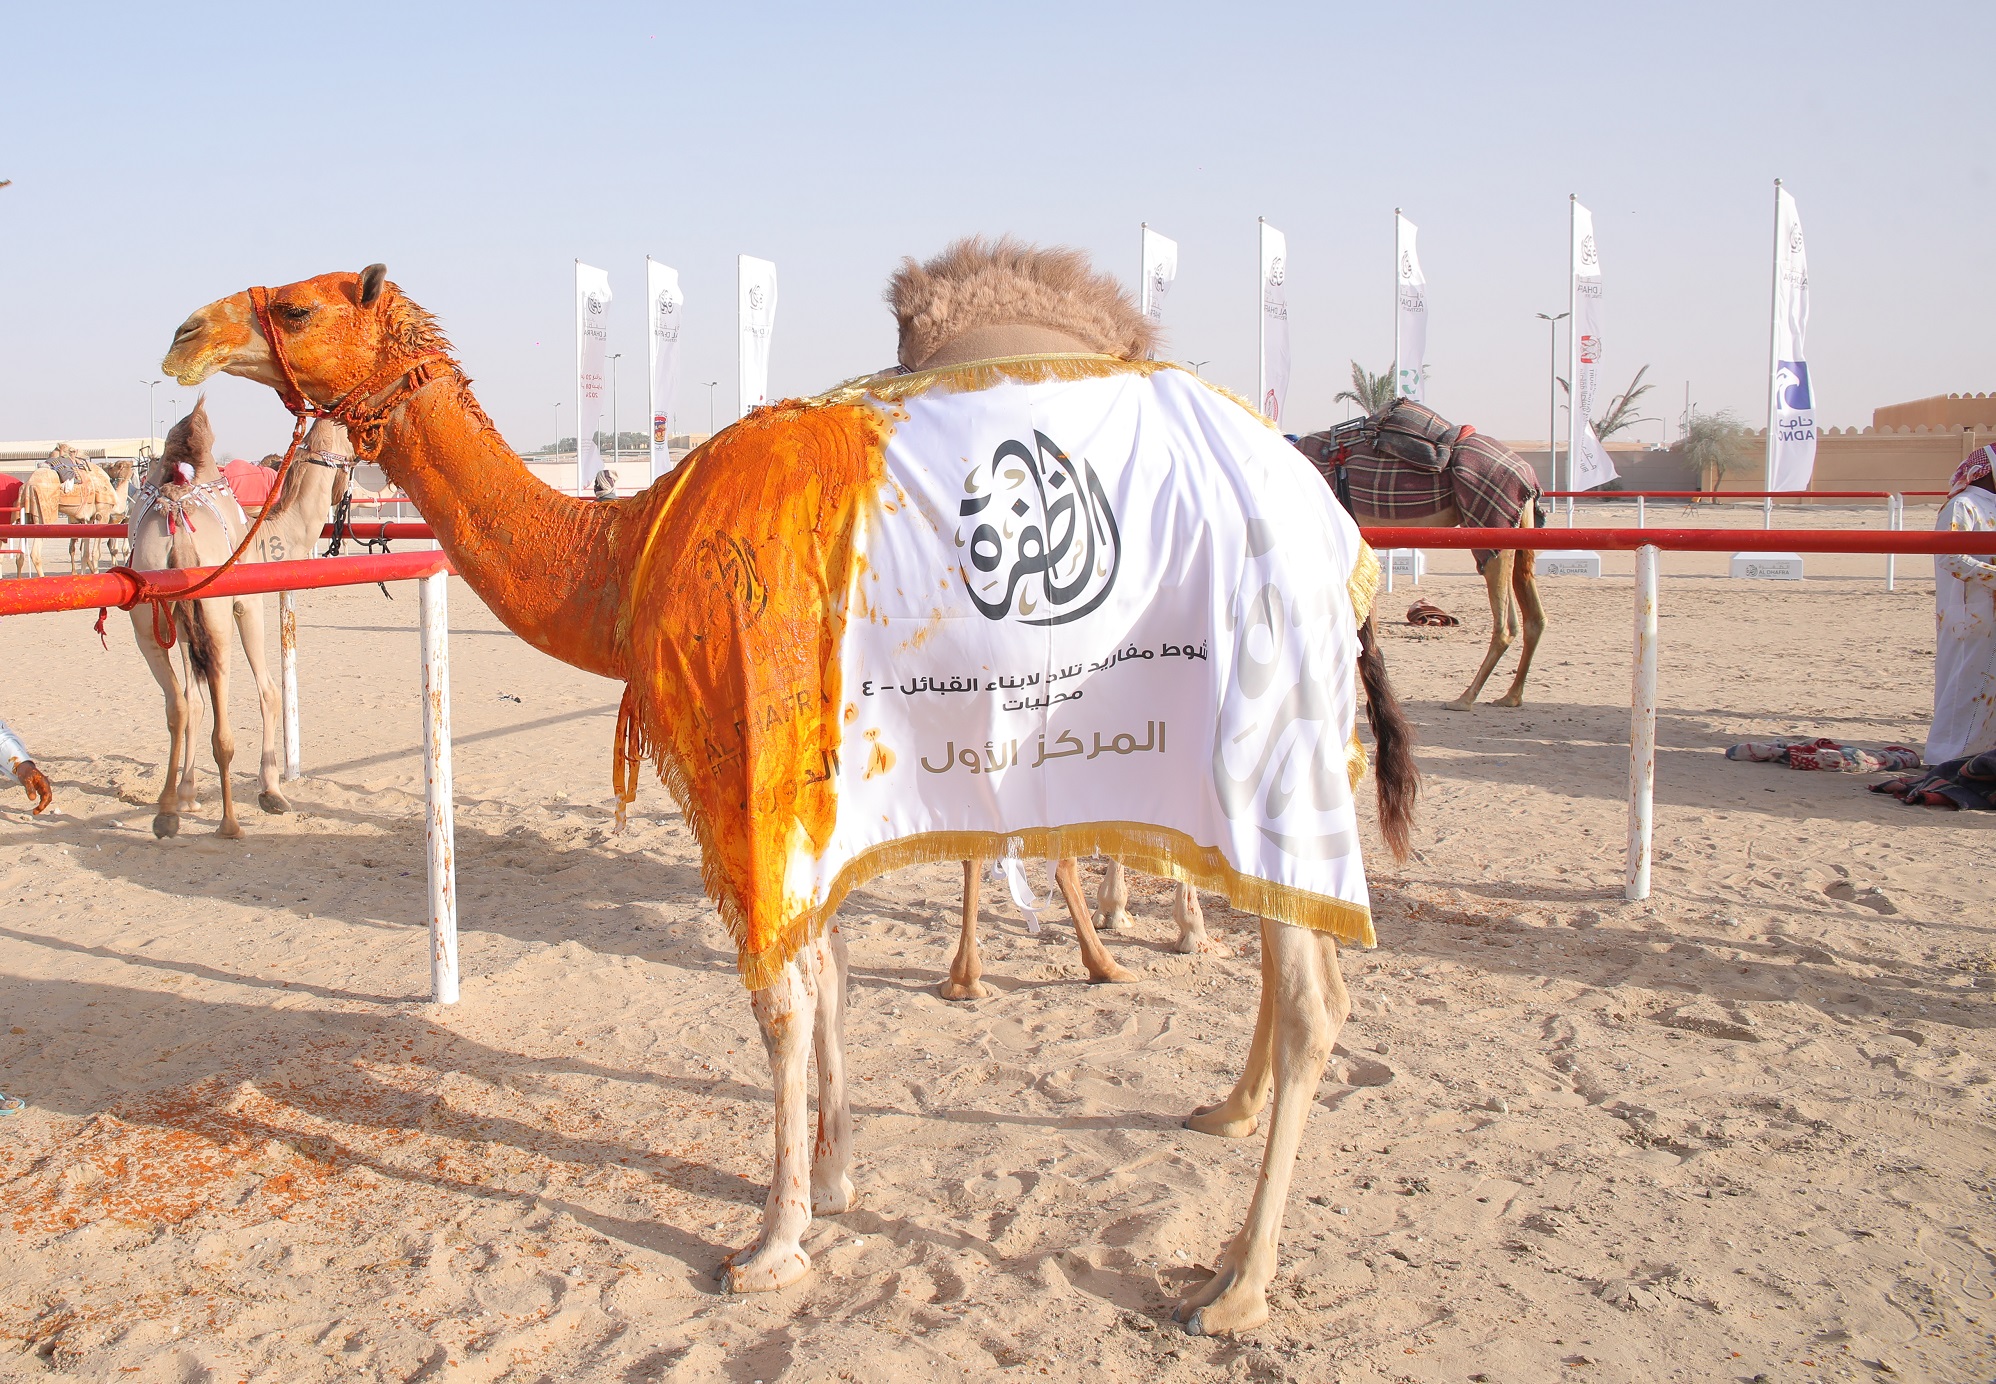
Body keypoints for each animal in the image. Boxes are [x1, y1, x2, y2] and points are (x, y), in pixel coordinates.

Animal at [126, 393, 349, 834]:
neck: (267, 539)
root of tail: (178, 527)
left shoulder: (182, 620)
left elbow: (193, 701)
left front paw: (188, 792)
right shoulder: (247, 604)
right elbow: (269, 692)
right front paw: (272, 789)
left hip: (150, 616)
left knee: (177, 704)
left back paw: (167, 811)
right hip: (216, 617)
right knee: (222, 721)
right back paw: (229, 822)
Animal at [167, 250, 1421, 1342]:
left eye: (294, 305)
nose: (186, 333)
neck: (620, 549)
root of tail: (1332, 532)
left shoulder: (746, 758)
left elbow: (780, 997)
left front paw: (772, 1241)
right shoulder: (806, 781)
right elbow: (827, 973)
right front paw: (836, 1175)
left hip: (1262, 714)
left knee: (1314, 997)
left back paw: (1235, 1283)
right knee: (1291, 947)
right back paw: (1224, 1110)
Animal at [1301, 399, 1548, 702]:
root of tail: (1527, 473)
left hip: (1490, 525)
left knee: (1505, 623)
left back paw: (1465, 698)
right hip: (1520, 531)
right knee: (1533, 614)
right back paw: (1510, 696)